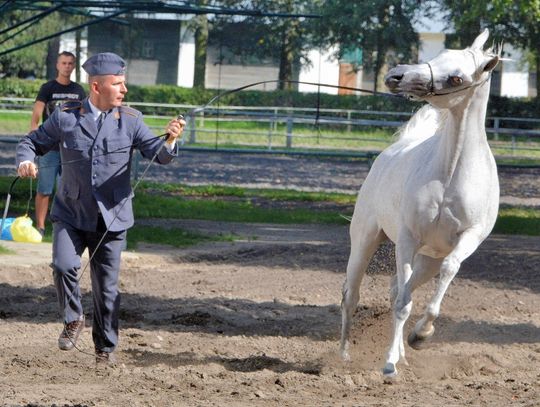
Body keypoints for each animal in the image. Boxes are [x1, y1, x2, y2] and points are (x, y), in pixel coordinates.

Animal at [340, 29, 500, 380]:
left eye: (456, 77)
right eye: (438, 55)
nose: (396, 76)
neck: (450, 175)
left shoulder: (467, 239)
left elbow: (445, 274)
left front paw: (421, 335)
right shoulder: (408, 238)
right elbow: (402, 303)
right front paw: (389, 364)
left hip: (428, 260)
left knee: (399, 287)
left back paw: (402, 352)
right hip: (365, 239)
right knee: (352, 295)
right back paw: (343, 355)